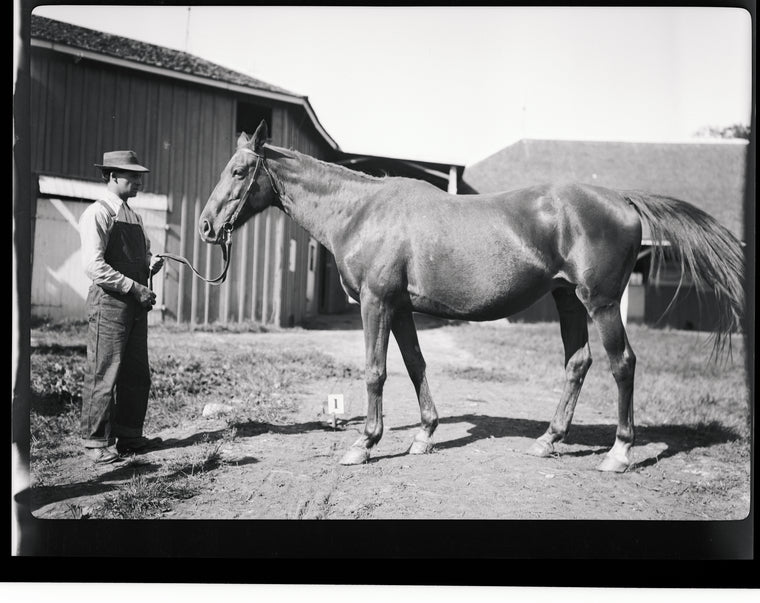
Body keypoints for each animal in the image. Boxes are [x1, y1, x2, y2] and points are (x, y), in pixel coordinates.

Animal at [199, 120, 744, 472]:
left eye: (240, 171)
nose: (205, 226)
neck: (363, 211)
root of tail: (623, 199)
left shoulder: (377, 304)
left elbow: (375, 372)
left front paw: (364, 443)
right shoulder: (400, 308)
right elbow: (415, 365)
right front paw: (423, 436)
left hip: (601, 303)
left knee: (622, 364)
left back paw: (618, 453)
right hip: (569, 300)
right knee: (578, 363)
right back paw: (548, 441)